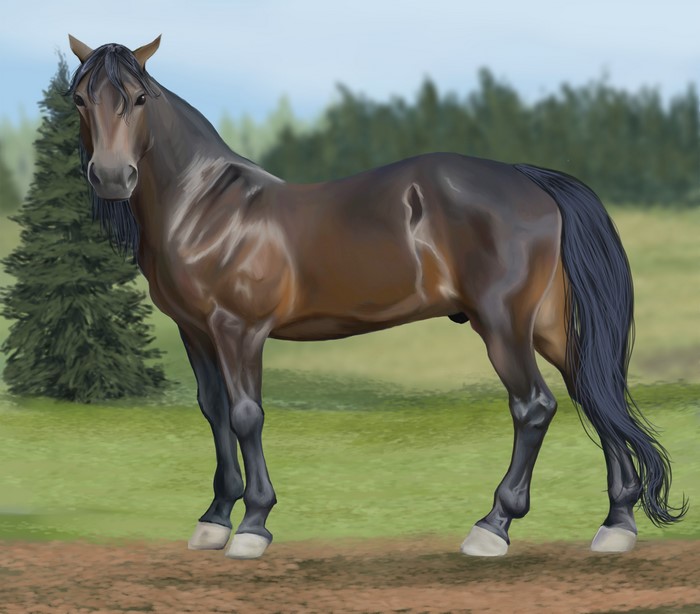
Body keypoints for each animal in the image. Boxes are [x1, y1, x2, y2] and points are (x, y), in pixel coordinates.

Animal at [67, 35, 686, 559]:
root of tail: (527, 178)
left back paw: (492, 527)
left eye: (139, 98)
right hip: (550, 327)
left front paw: (253, 525)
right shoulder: (194, 332)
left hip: (503, 323)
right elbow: (215, 414)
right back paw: (616, 525)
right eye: (79, 98)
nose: (112, 177)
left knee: (535, 406)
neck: (207, 208)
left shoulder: (238, 330)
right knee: (592, 393)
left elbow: (246, 417)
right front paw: (215, 519)